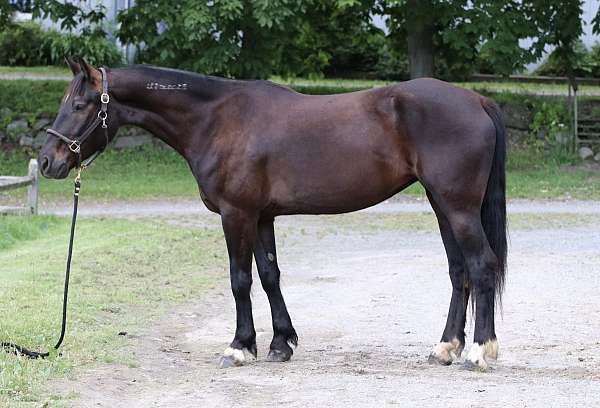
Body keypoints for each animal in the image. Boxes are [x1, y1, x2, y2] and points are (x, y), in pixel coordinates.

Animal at [38, 59, 506, 372]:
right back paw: (445, 348)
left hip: (457, 207)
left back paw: (478, 352)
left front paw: (239, 346)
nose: (47, 161)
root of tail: (477, 99)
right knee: (459, 272)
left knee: (481, 266)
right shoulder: (262, 217)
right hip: (441, 205)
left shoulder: (236, 214)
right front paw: (281, 343)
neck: (217, 119)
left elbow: (240, 279)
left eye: (79, 104)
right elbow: (269, 275)